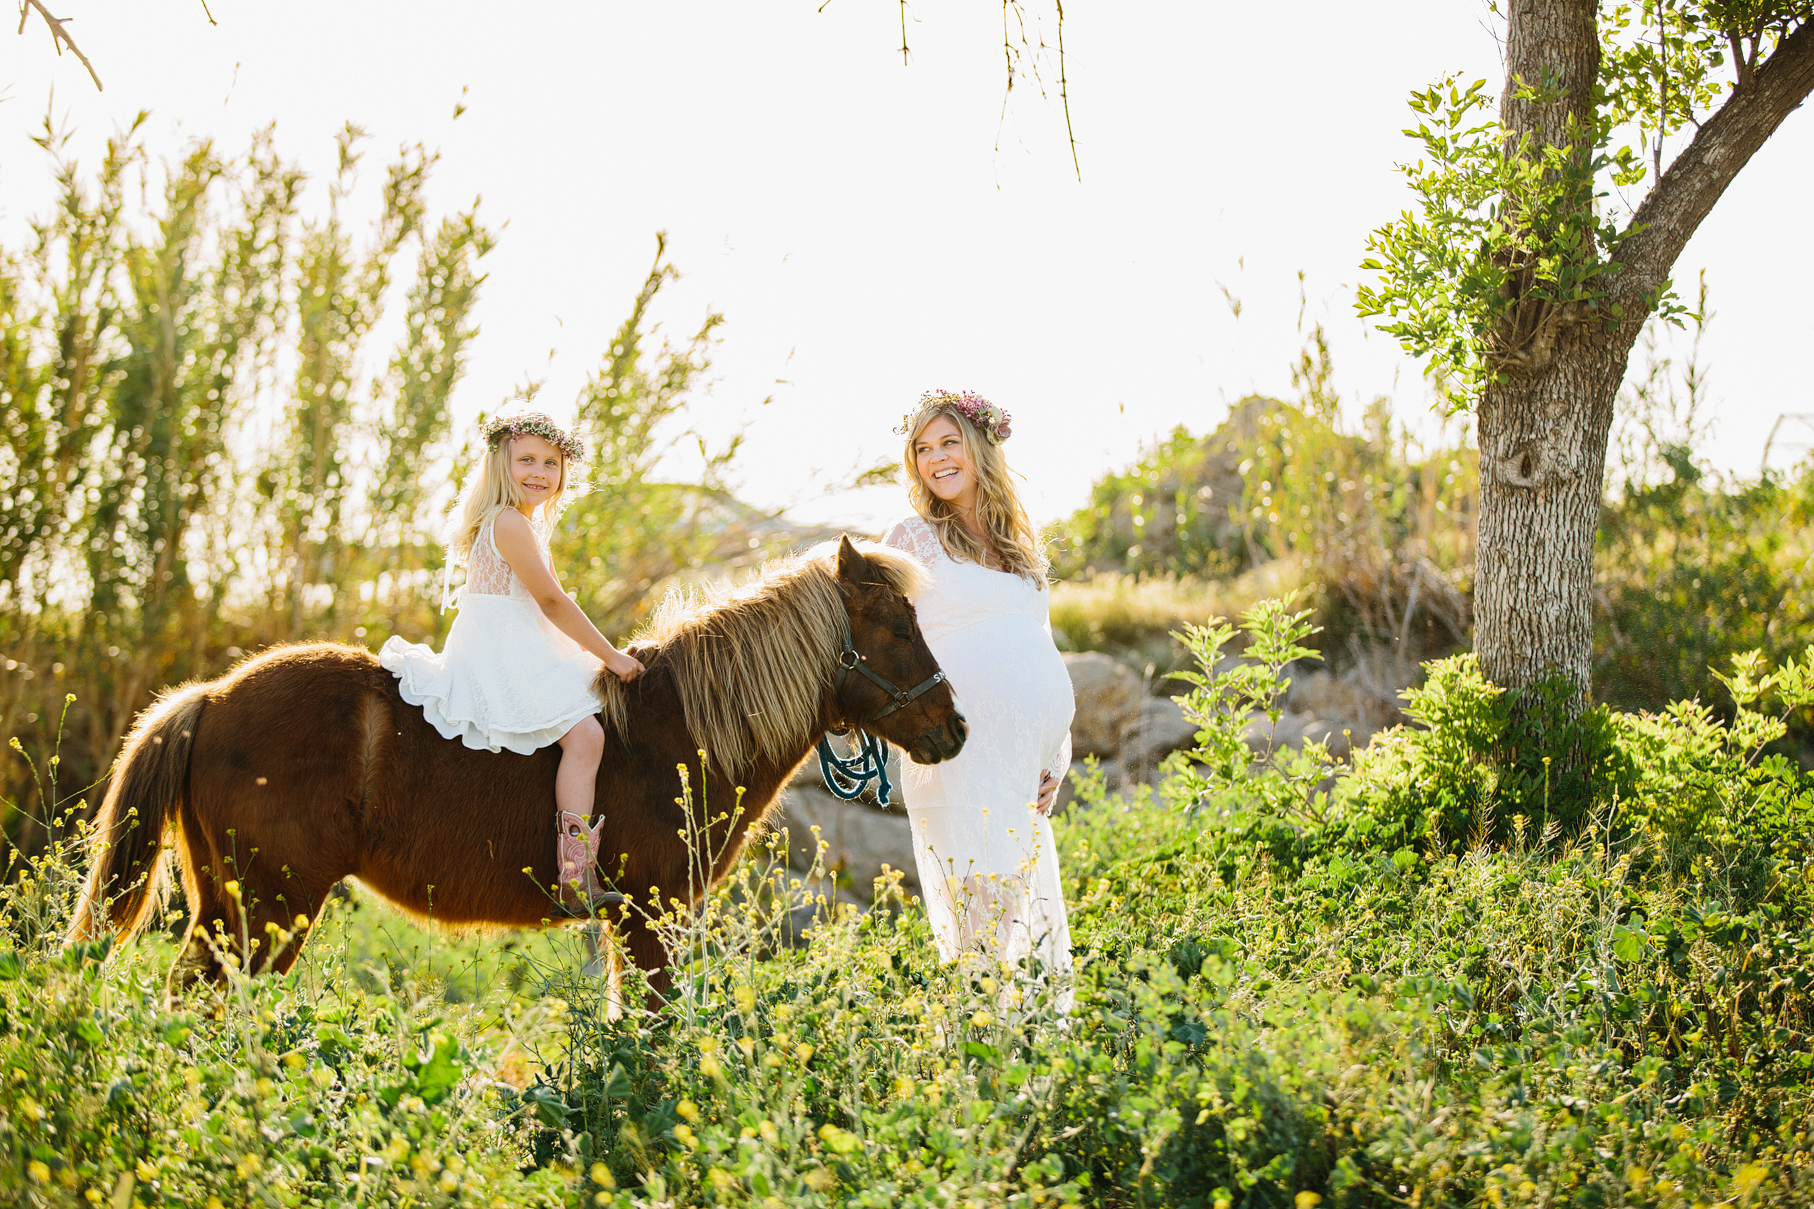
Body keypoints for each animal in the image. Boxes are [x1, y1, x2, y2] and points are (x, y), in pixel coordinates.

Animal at [68, 537, 965, 994]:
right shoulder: (651, 918)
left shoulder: (639, 924)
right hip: (268, 908)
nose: (953, 728)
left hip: (228, 904)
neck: (675, 733)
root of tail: (212, 697)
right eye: (897, 625)